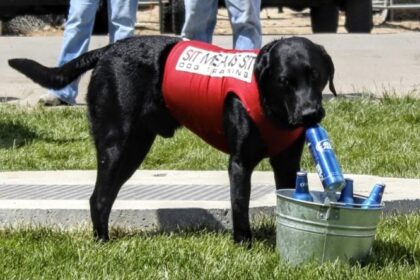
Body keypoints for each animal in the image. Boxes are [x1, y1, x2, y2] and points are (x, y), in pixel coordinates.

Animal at [8, 35, 336, 245]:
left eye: (315, 75)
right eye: (285, 81)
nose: (310, 114)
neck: (271, 107)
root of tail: (108, 49)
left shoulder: (287, 163)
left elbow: (287, 201)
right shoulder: (240, 164)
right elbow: (240, 206)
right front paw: (244, 245)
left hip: (135, 148)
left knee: (104, 195)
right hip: (116, 144)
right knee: (99, 197)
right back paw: (102, 243)